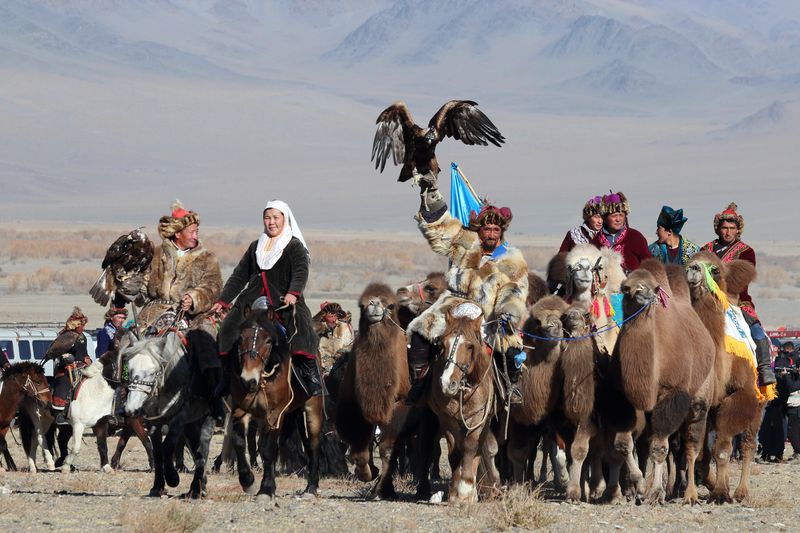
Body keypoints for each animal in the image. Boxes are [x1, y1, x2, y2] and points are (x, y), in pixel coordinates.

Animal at [230, 304, 324, 498]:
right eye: (241, 338)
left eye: (268, 341)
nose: (248, 380)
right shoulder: (240, 409)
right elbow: (240, 443)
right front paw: (248, 482)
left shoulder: (275, 413)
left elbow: (268, 450)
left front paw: (265, 489)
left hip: (312, 409)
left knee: (312, 444)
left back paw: (311, 487)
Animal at [336, 282, 412, 498]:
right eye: (361, 306)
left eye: (391, 306)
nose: (374, 303)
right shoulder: (354, 405)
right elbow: (360, 448)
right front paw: (369, 472)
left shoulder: (401, 403)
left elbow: (387, 449)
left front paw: (381, 490)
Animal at [424, 302, 494, 500]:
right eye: (442, 344)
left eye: (470, 346)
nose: (448, 383)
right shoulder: (447, 419)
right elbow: (454, 451)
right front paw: (455, 492)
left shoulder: (479, 418)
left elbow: (470, 447)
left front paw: (465, 488)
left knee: (477, 450)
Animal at [616, 260, 716, 504]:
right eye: (625, 287)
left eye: (653, 287)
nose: (641, 294)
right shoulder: (627, 399)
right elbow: (624, 443)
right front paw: (638, 486)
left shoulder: (671, 394)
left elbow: (660, 447)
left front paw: (654, 492)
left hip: (700, 396)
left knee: (690, 447)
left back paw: (689, 493)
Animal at [688, 250, 764, 502]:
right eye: (688, 261)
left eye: (715, 270)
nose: (693, 269)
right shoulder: (704, 402)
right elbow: (703, 452)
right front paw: (712, 485)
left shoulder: (741, 396)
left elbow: (722, 447)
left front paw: (721, 492)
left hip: (759, 406)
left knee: (749, 444)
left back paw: (741, 491)